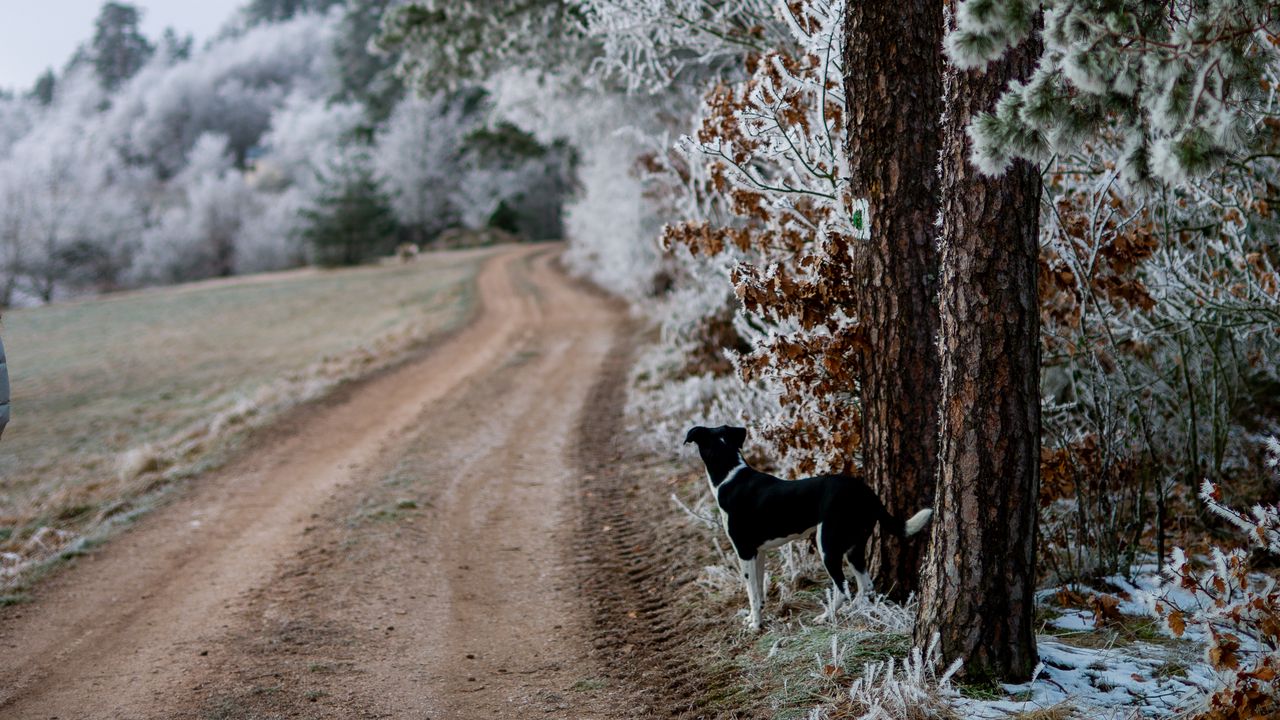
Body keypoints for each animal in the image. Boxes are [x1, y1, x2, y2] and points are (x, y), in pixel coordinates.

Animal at [686, 422, 936, 625]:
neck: (731, 475)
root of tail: (866, 493)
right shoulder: (758, 552)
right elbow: (758, 589)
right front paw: (755, 616)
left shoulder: (744, 551)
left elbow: (752, 593)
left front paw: (755, 624)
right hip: (854, 546)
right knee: (865, 586)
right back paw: (853, 611)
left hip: (828, 544)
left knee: (843, 588)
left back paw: (827, 616)